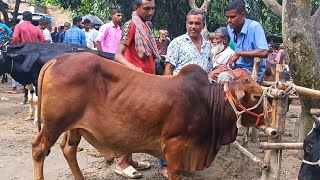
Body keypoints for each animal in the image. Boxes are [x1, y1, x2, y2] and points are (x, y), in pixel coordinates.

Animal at [32, 51, 268, 179]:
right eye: (256, 97)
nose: (265, 119)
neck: (207, 101)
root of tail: (57, 59)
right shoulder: (174, 144)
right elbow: (174, 173)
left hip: (75, 126)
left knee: (68, 149)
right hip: (54, 123)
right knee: (39, 149)